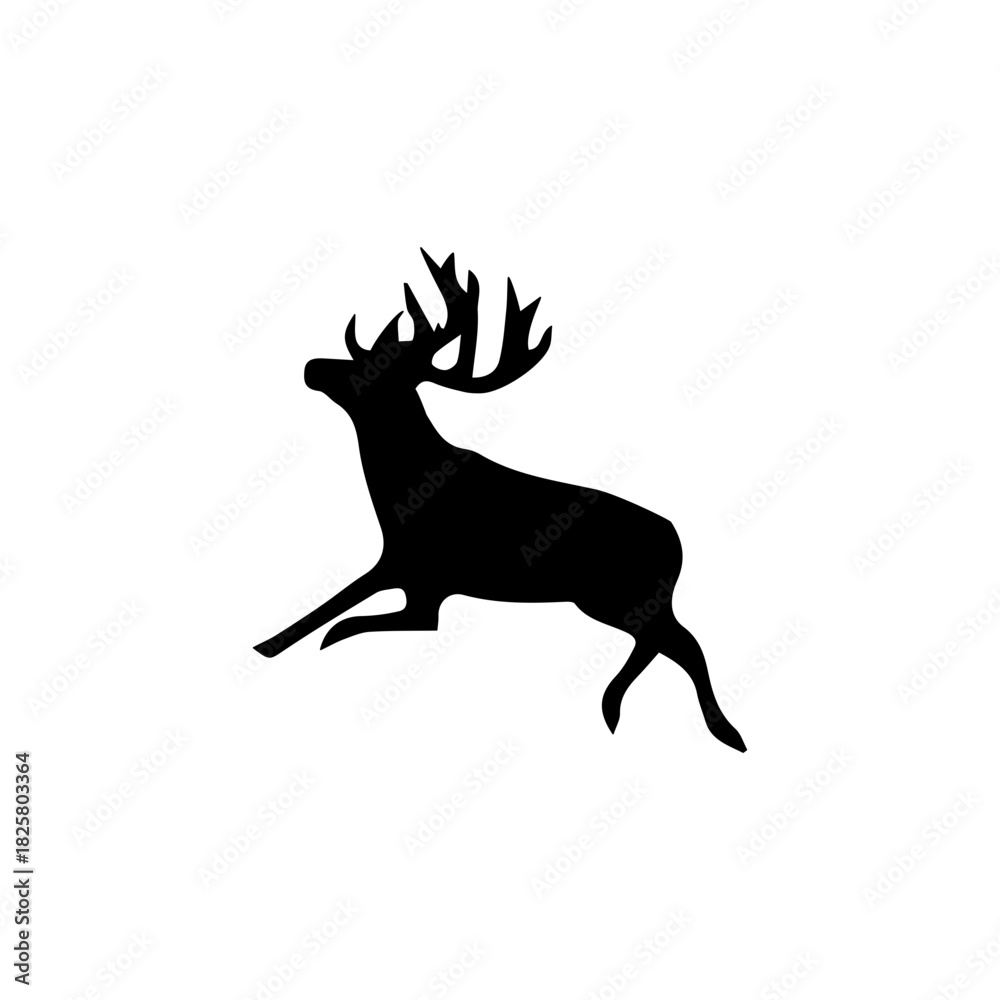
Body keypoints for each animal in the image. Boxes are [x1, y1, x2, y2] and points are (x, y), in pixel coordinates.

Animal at [254, 250, 746, 752]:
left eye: (375, 367)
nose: (313, 366)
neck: (401, 494)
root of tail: (678, 544)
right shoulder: (403, 568)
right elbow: (330, 607)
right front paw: (268, 645)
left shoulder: (422, 576)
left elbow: (343, 614)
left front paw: (296, 642)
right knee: (673, 642)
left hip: (617, 595)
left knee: (682, 643)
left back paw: (692, 724)